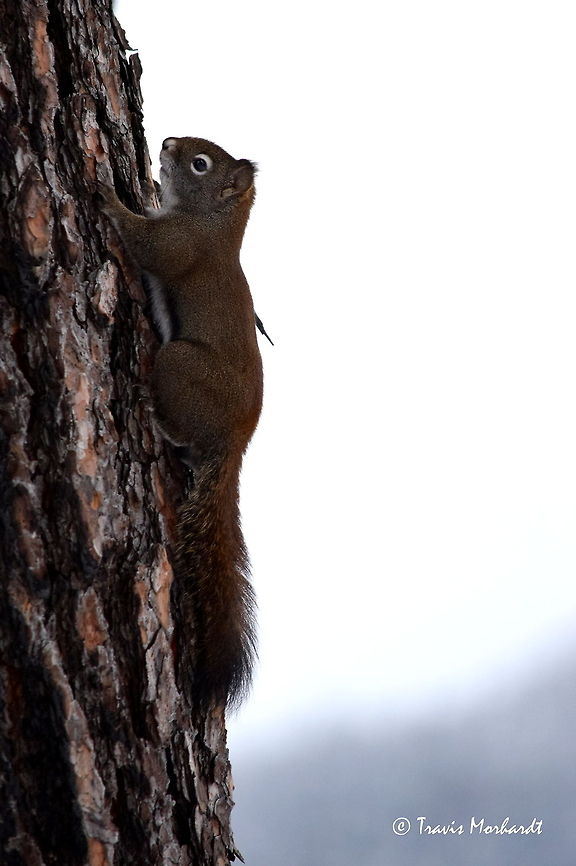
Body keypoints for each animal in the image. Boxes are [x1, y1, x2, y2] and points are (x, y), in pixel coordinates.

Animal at [99, 136, 263, 710]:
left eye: (200, 164)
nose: (167, 143)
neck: (213, 222)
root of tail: (236, 441)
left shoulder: (180, 244)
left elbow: (150, 246)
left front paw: (109, 198)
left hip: (178, 366)